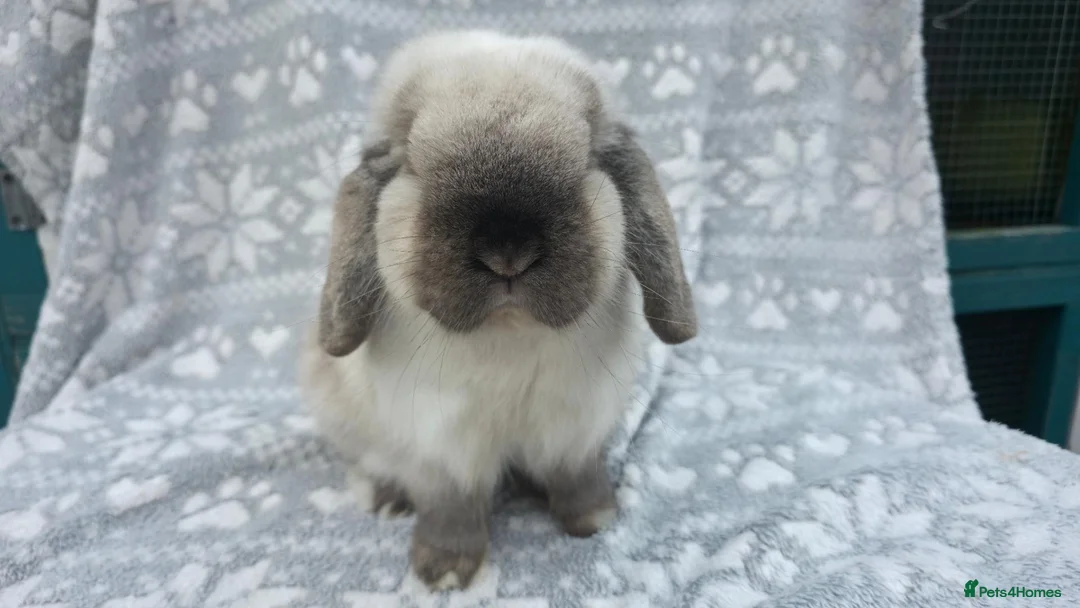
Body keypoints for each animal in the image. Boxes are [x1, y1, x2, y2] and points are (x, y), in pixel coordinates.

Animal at [299, 29, 697, 591]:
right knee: (373, 462)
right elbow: (452, 508)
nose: (508, 252)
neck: (509, 332)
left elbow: (577, 476)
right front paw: (443, 573)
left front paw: (595, 518)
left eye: (586, 162)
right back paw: (387, 500)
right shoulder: (441, 444)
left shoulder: (576, 426)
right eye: (414, 167)